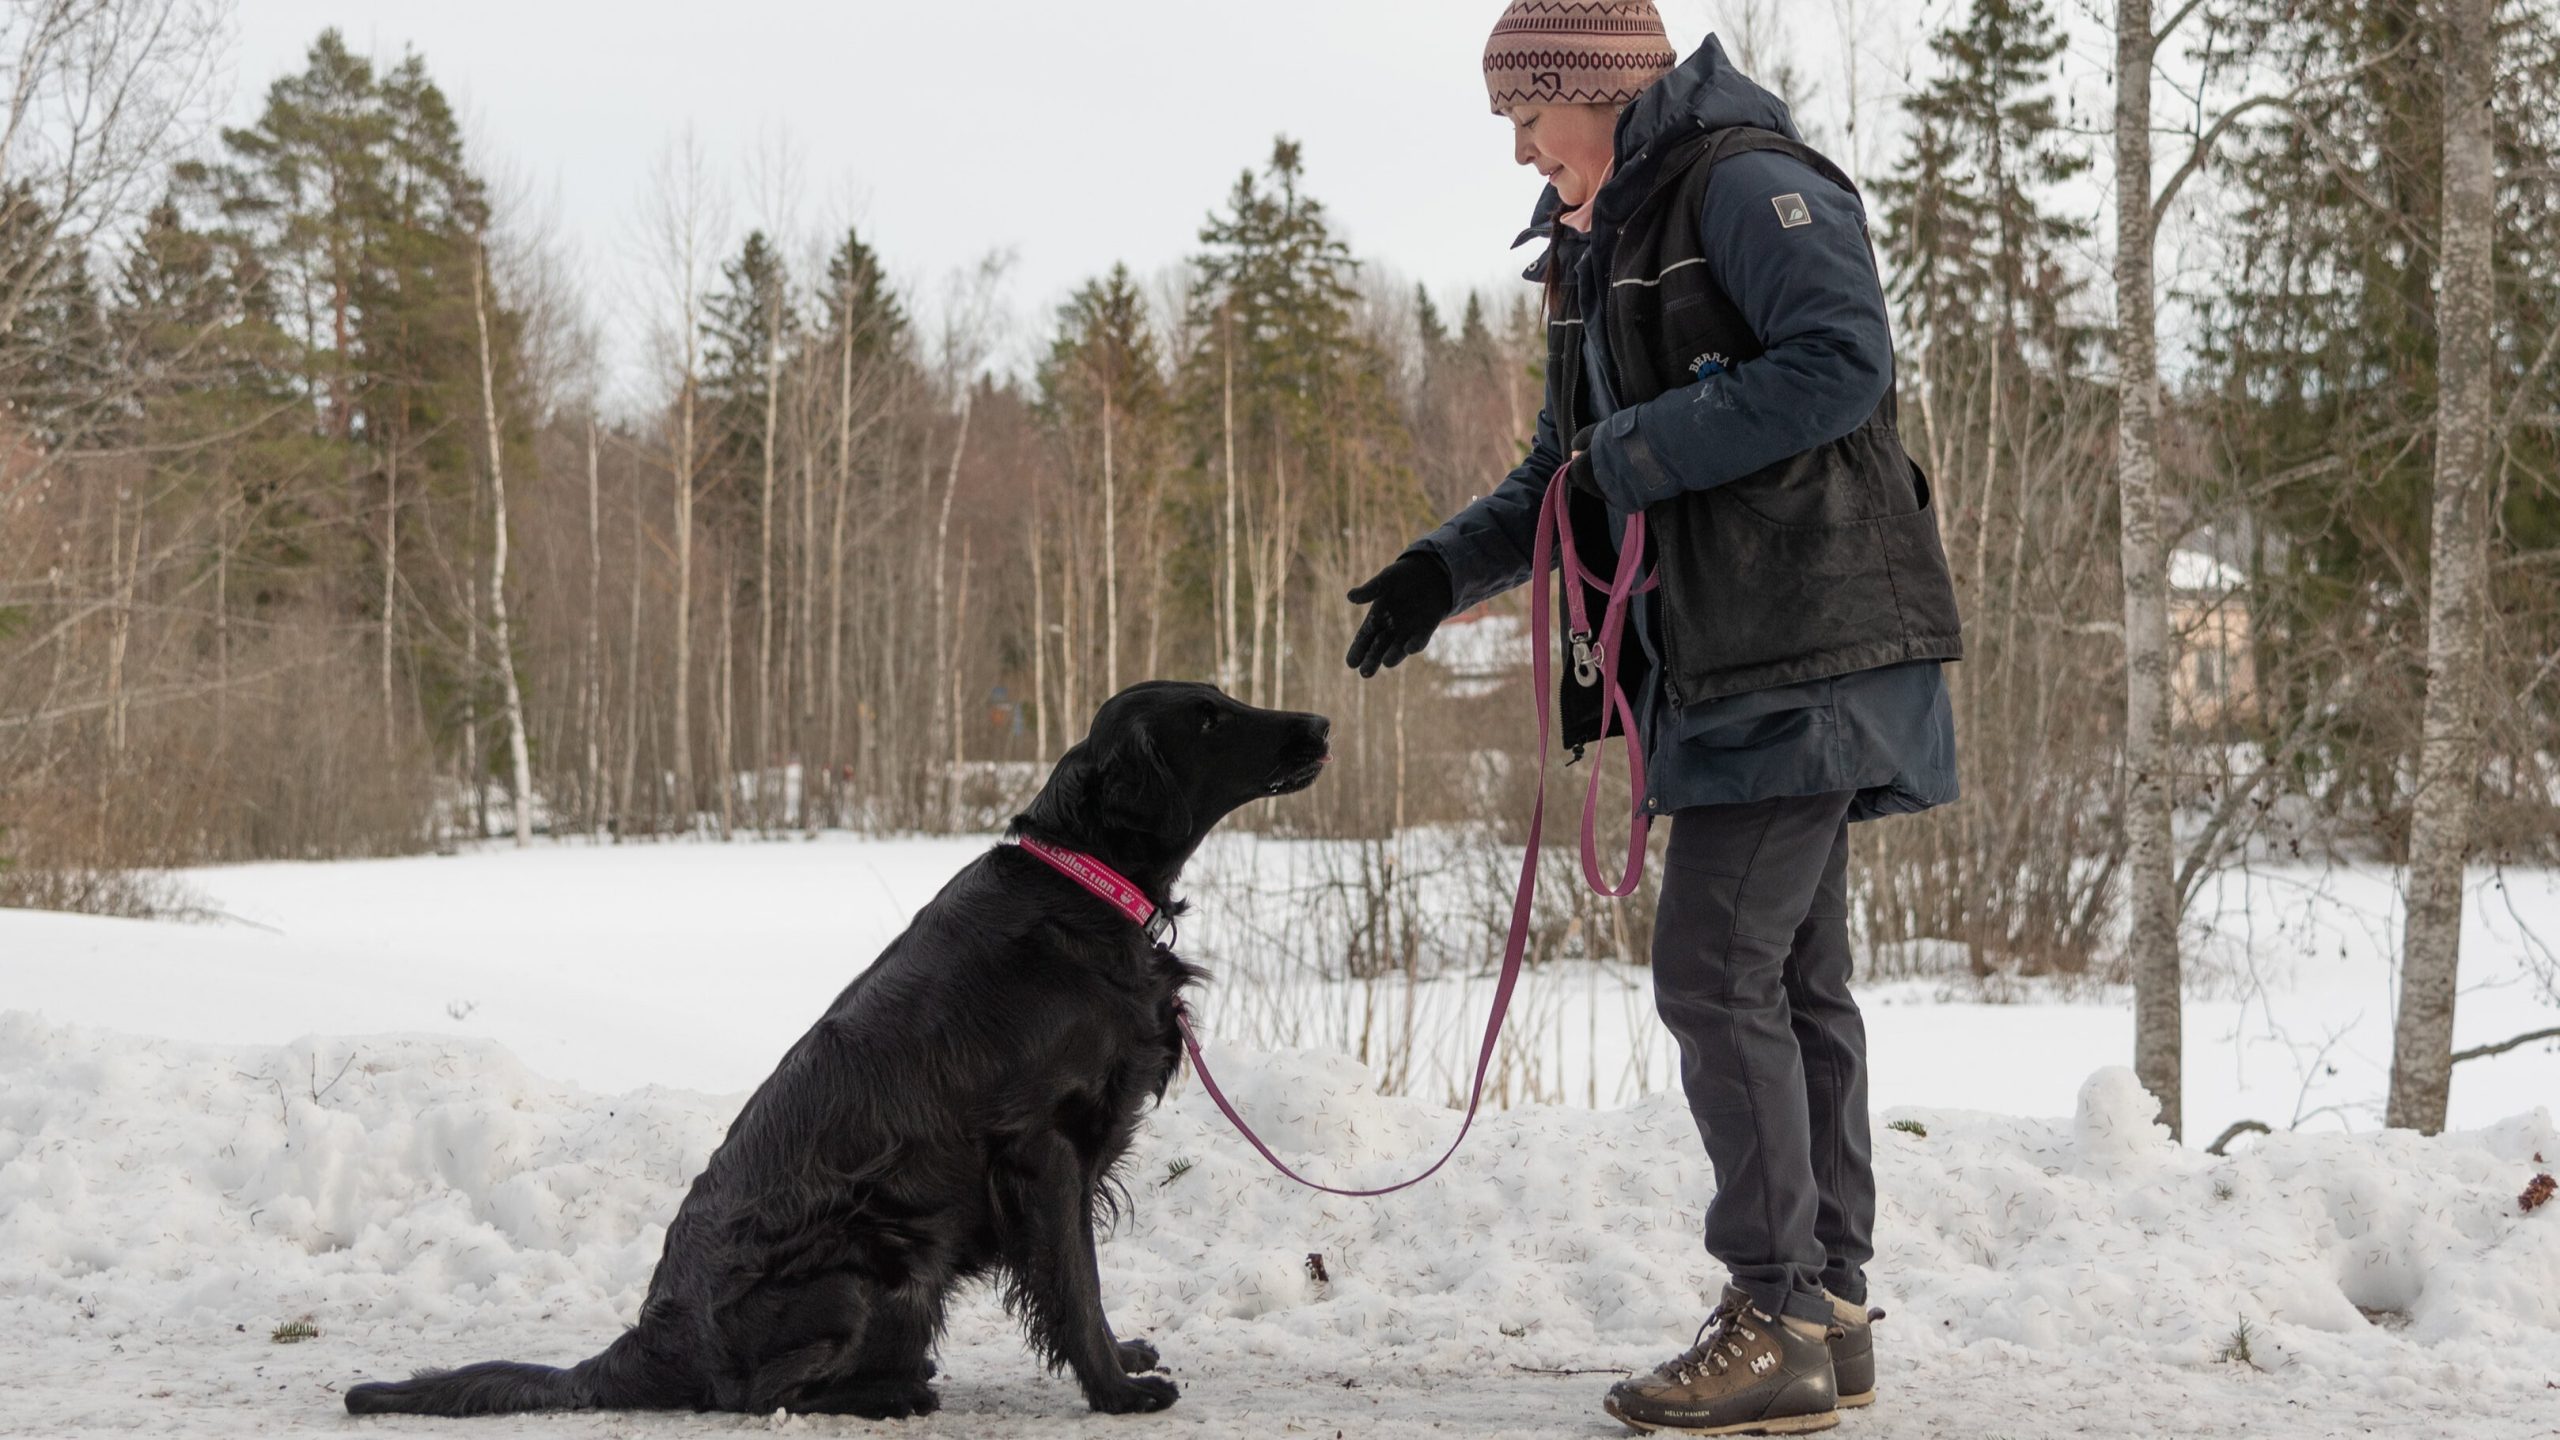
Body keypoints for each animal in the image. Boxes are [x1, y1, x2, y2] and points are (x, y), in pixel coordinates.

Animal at [343, 681, 1331, 1414]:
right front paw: (1117, 1389)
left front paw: (1122, 1357)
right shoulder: (1041, 1146)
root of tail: (650, 1341)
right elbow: (1072, 1283)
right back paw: (892, 1395)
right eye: (1209, 719)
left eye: (1225, 699)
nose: (1321, 721)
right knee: (756, 1395)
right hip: (869, 1260)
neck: (1085, 889)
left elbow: (1077, 1279)